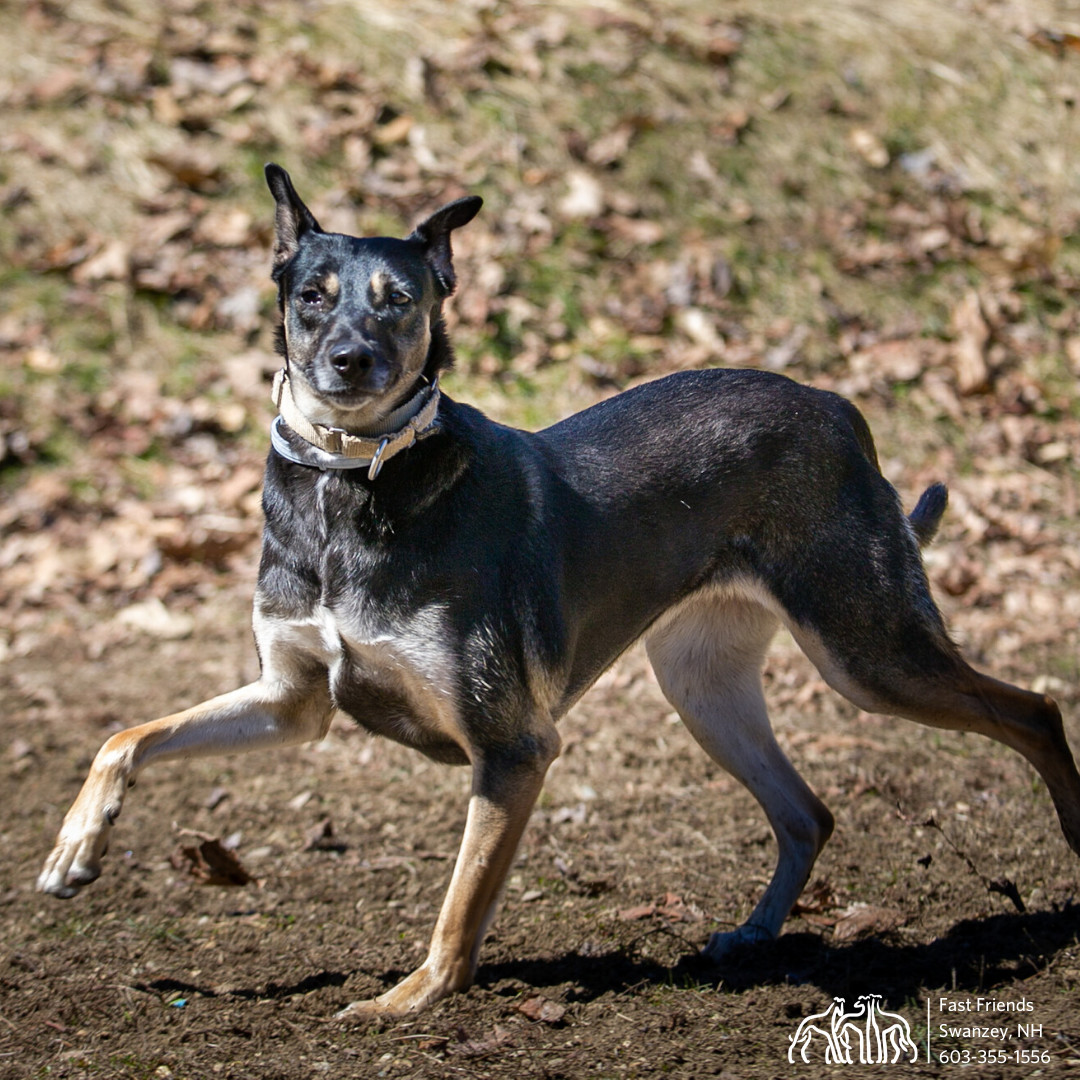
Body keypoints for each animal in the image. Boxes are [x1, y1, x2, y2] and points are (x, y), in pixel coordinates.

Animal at [38, 164, 1080, 1015]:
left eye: (399, 301)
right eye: (312, 297)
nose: (349, 362)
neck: (355, 479)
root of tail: (836, 409)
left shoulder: (513, 746)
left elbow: (461, 903)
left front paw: (411, 1000)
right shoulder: (292, 700)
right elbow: (126, 735)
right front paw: (75, 850)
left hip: (866, 649)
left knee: (1032, 711)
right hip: (703, 684)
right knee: (807, 812)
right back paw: (751, 936)